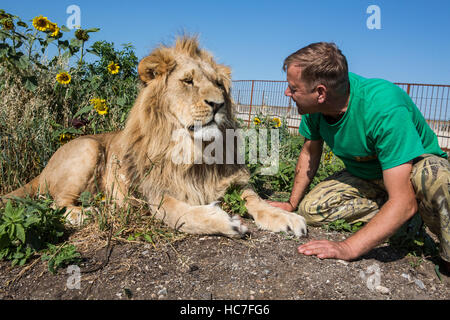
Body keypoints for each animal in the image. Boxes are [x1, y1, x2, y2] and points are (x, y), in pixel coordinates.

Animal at [1, 36, 306, 239]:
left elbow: (257, 200)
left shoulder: (234, 181)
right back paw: (85, 213)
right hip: (87, 147)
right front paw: (227, 222)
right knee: (56, 203)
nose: (218, 104)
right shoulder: (153, 194)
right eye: (188, 81)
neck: (195, 150)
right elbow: (181, 213)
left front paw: (286, 217)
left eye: (219, 84)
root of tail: (43, 170)